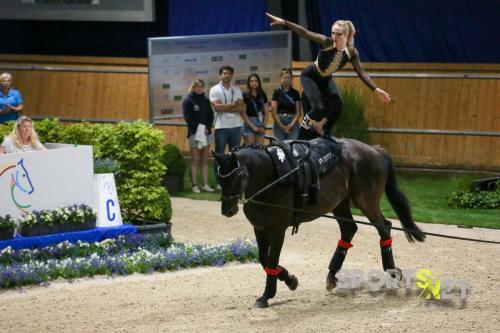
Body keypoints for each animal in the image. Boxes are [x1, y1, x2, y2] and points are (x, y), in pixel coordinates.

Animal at [215, 137, 426, 306]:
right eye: (219, 178)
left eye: (236, 176)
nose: (227, 209)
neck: (273, 176)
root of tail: (374, 150)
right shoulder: (260, 228)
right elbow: (263, 259)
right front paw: (290, 280)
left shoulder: (277, 230)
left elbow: (272, 261)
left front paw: (267, 295)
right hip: (340, 203)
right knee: (349, 229)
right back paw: (332, 274)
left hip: (366, 201)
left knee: (384, 229)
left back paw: (391, 272)